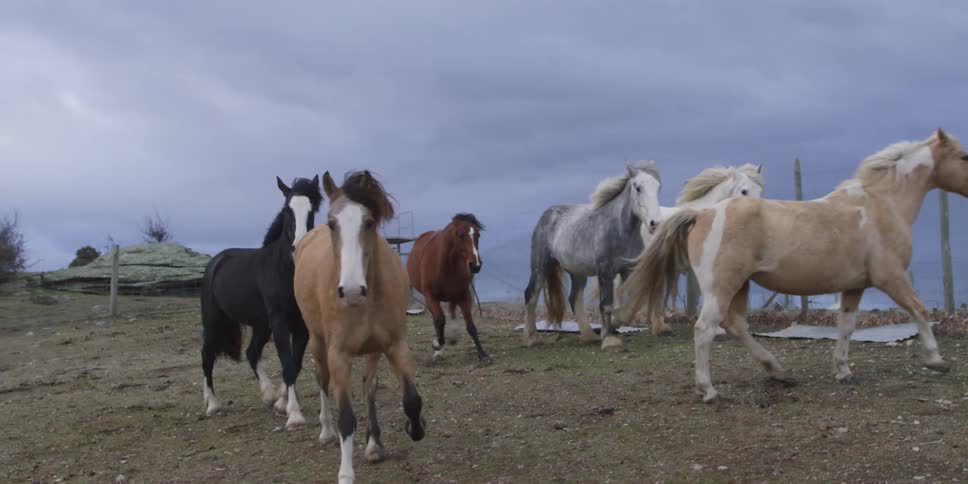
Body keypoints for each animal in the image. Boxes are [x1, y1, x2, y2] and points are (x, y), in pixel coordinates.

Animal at [200, 175, 322, 431]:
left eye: (313, 209)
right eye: (287, 210)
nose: (299, 247)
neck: (286, 271)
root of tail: (216, 261)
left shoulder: (301, 326)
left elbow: (295, 364)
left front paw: (281, 404)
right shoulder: (280, 322)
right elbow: (287, 363)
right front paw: (294, 415)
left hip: (260, 325)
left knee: (251, 352)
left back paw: (268, 395)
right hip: (213, 321)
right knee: (207, 355)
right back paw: (212, 405)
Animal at [294, 170, 426, 484]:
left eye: (369, 222)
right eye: (332, 223)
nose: (352, 291)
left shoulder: (395, 345)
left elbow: (411, 399)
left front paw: (415, 428)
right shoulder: (339, 355)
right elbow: (347, 418)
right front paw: (345, 473)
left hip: (372, 350)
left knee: (369, 387)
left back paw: (374, 444)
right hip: (317, 342)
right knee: (322, 379)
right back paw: (326, 431)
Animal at [407, 213, 492, 364]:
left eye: (478, 234)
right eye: (460, 235)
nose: (475, 265)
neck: (445, 265)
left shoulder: (464, 295)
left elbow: (471, 326)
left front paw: (483, 354)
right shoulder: (430, 296)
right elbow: (440, 320)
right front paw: (437, 344)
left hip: (453, 295)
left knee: (451, 312)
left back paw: (452, 337)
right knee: (438, 319)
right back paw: (439, 350)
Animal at [523, 160, 662, 353]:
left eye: (658, 187)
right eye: (638, 188)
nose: (654, 223)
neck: (620, 230)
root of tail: (547, 215)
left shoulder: (628, 270)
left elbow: (631, 304)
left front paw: (614, 324)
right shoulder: (605, 271)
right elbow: (606, 304)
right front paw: (609, 340)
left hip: (577, 273)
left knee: (574, 299)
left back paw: (590, 336)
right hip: (541, 265)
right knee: (531, 294)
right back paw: (532, 338)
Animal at [618, 129, 968, 403]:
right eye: (964, 156)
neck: (880, 204)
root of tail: (704, 213)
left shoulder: (854, 286)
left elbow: (846, 326)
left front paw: (843, 371)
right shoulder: (891, 277)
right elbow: (919, 310)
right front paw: (935, 359)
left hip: (740, 285)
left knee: (736, 325)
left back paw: (778, 371)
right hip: (722, 286)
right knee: (706, 329)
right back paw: (709, 390)